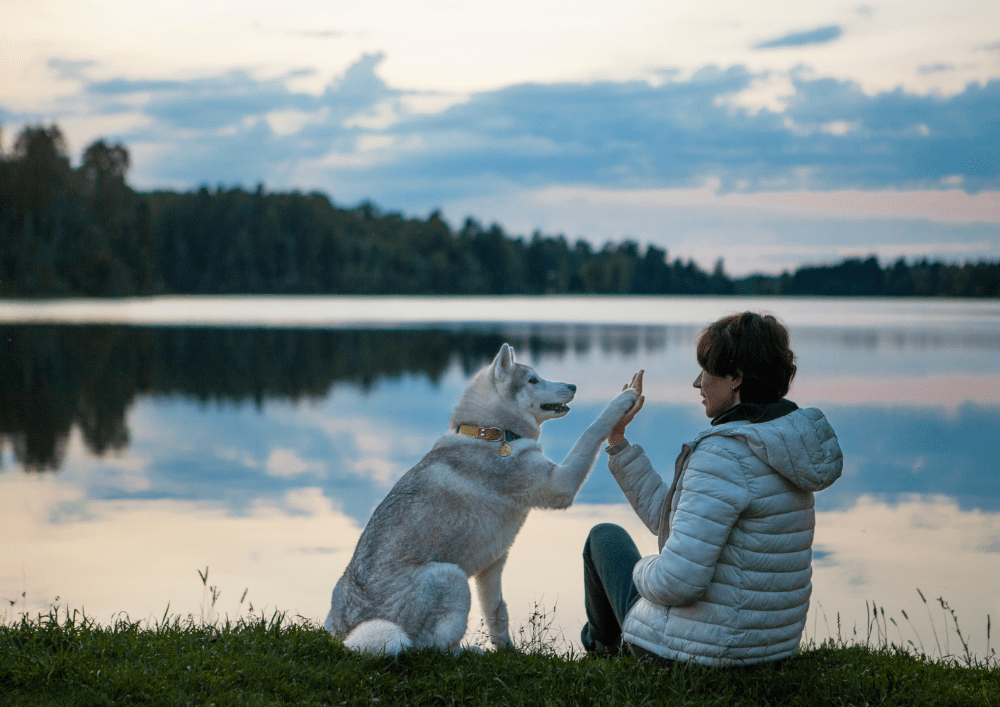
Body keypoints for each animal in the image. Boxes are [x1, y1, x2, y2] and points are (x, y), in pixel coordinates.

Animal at [328, 342, 640, 660]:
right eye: (533, 380)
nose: (573, 386)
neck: (490, 433)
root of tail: (347, 633)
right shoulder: (561, 483)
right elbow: (592, 429)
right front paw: (621, 401)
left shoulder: (492, 565)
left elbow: (497, 612)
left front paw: (507, 651)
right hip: (451, 577)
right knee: (434, 648)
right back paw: (468, 651)